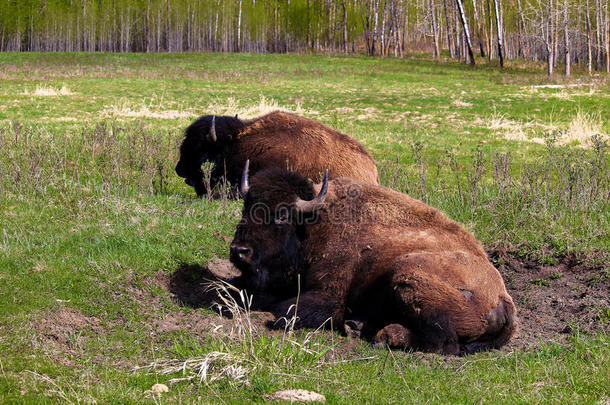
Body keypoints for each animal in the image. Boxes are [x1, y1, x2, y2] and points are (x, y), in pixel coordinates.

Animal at [230, 164, 516, 354]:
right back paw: (358, 326)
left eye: (281, 215)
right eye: (246, 208)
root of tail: (503, 299)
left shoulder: (329, 294)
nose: (239, 250)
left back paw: (382, 334)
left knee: (443, 342)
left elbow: (287, 309)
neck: (314, 223)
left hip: (406, 271)